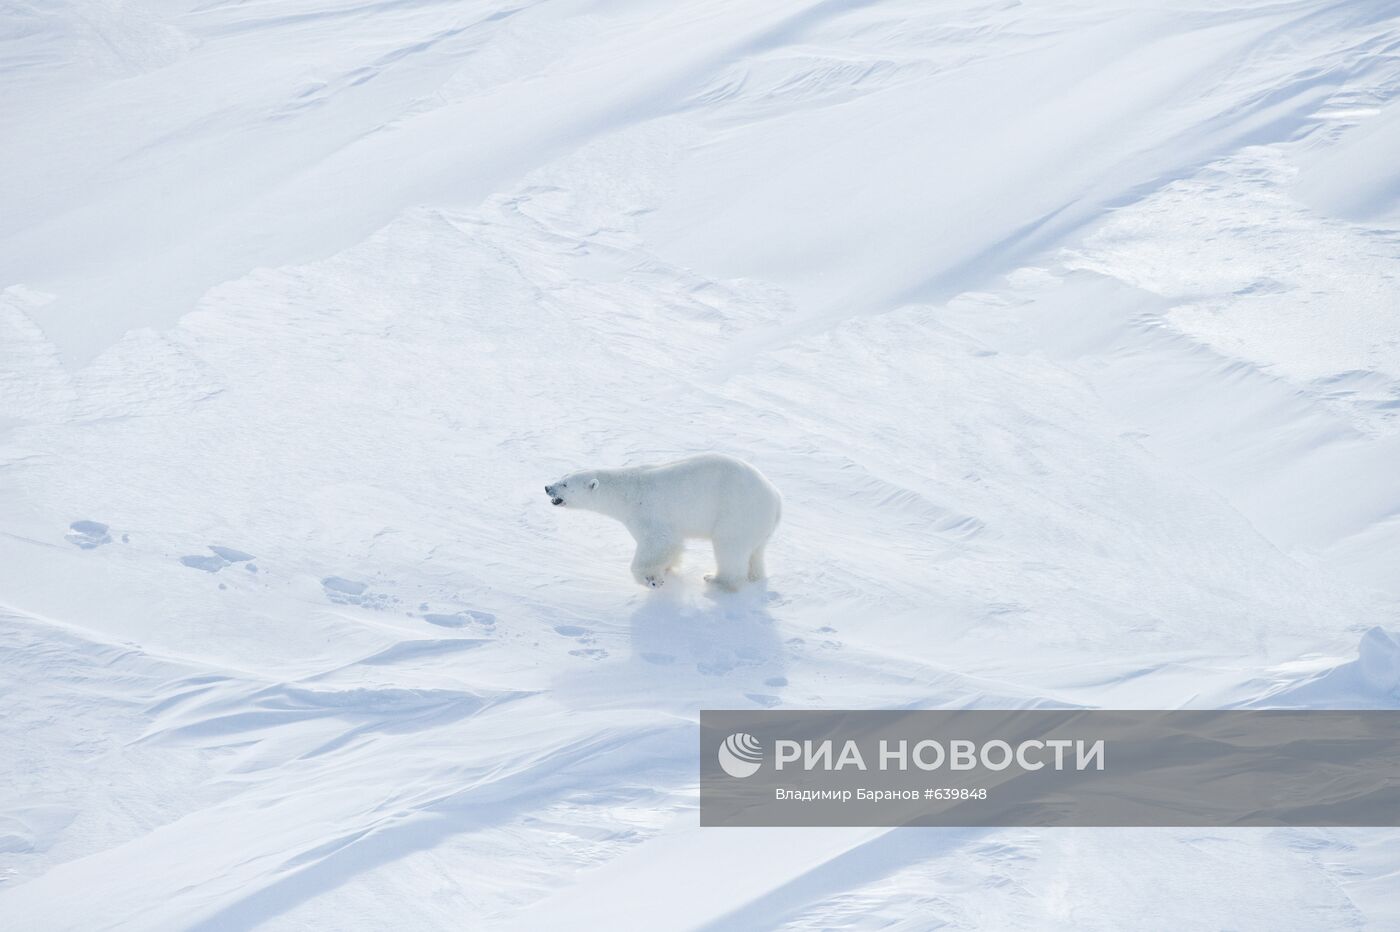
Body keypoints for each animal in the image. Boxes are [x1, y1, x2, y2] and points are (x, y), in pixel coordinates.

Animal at [546, 450, 784, 587]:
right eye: (563, 476)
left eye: (565, 484)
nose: (548, 487)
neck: (625, 492)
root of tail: (776, 499)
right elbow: (673, 547)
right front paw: (667, 569)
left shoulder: (648, 512)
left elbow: (659, 543)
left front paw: (651, 579)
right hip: (758, 523)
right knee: (756, 552)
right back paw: (755, 577)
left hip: (737, 512)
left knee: (729, 548)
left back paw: (716, 579)